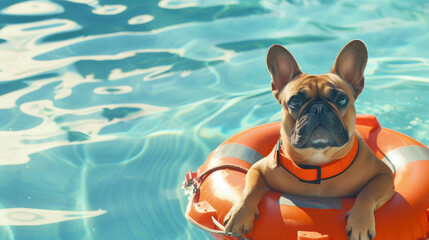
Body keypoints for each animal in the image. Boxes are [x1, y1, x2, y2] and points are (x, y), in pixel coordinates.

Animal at [224, 40, 394, 239]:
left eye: (342, 100)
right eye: (294, 101)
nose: (319, 108)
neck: (318, 165)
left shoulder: (384, 176)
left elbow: (368, 192)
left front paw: (360, 222)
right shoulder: (258, 169)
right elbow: (250, 187)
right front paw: (239, 213)